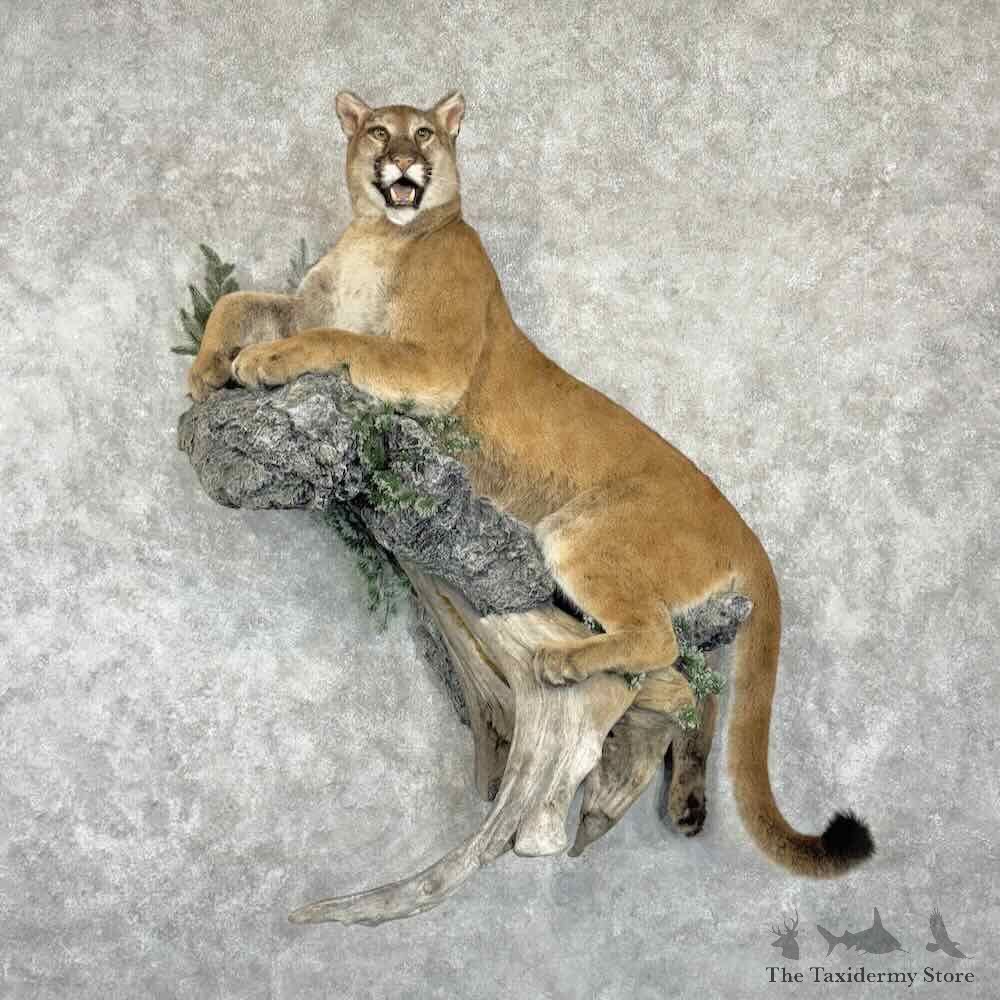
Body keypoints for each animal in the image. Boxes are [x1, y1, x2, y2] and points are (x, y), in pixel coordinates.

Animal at [187, 90, 874, 876]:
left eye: (425, 133)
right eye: (378, 131)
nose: (403, 161)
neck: (378, 234)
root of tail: (742, 525)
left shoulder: (434, 360)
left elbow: (340, 339)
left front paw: (263, 362)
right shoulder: (306, 305)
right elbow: (240, 300)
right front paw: (205, 369)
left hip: (579, 532)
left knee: (659, 643)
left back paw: (562, 661)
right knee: (696, 678)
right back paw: (687, 802)